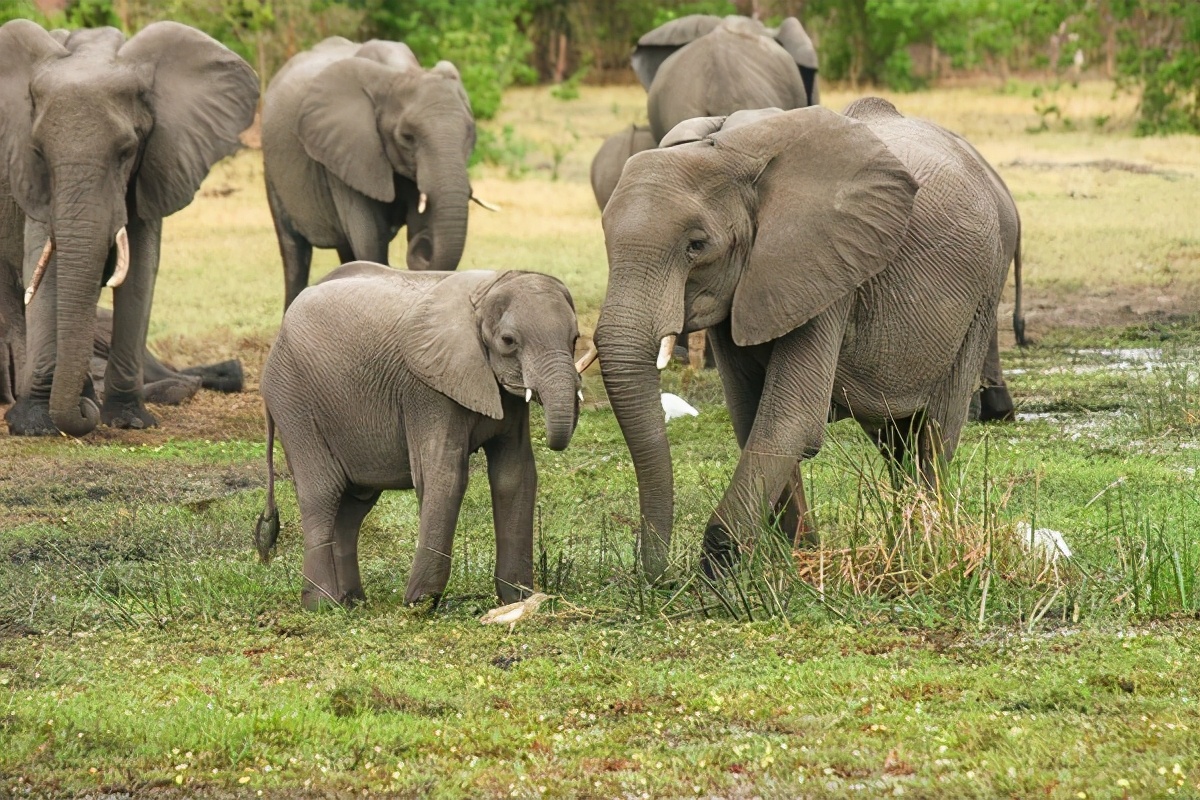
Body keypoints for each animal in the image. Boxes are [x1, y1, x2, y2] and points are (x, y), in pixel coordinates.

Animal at [0, 20, 258, 438]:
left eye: (126, 151)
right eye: (38, 152)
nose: (84, 413)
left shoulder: (157, 160)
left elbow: (140, 270)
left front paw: (128, 420)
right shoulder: (29, 181)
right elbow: (46, 267)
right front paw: (35, 425)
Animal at [255, 261, 588, 606]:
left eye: (575, 338)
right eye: (509, 341)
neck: (485, 293)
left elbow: (515, 474)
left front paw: (518, 599)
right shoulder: (428, 389)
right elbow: (445, 475)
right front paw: (420, 603)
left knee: (353, 505)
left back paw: (352, 603)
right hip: (293, 401)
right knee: (322, 493)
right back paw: (321, 604)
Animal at [265, 38, 480, 311]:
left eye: (470, 132)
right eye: (407, 137)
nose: (422, 246)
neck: (400, 73)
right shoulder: (347, 152)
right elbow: (370, 240)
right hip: (272, 171)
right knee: (294, 252)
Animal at [592, 101, 1012, 582]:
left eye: (696, 245)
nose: (658, 575)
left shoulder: (826, 268)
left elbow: (790, 418)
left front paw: (720, 568)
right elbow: (751, 415)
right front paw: (798, 557)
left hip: (983, 295)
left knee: (934, 431)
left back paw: (925, 541)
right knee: (895, 438)